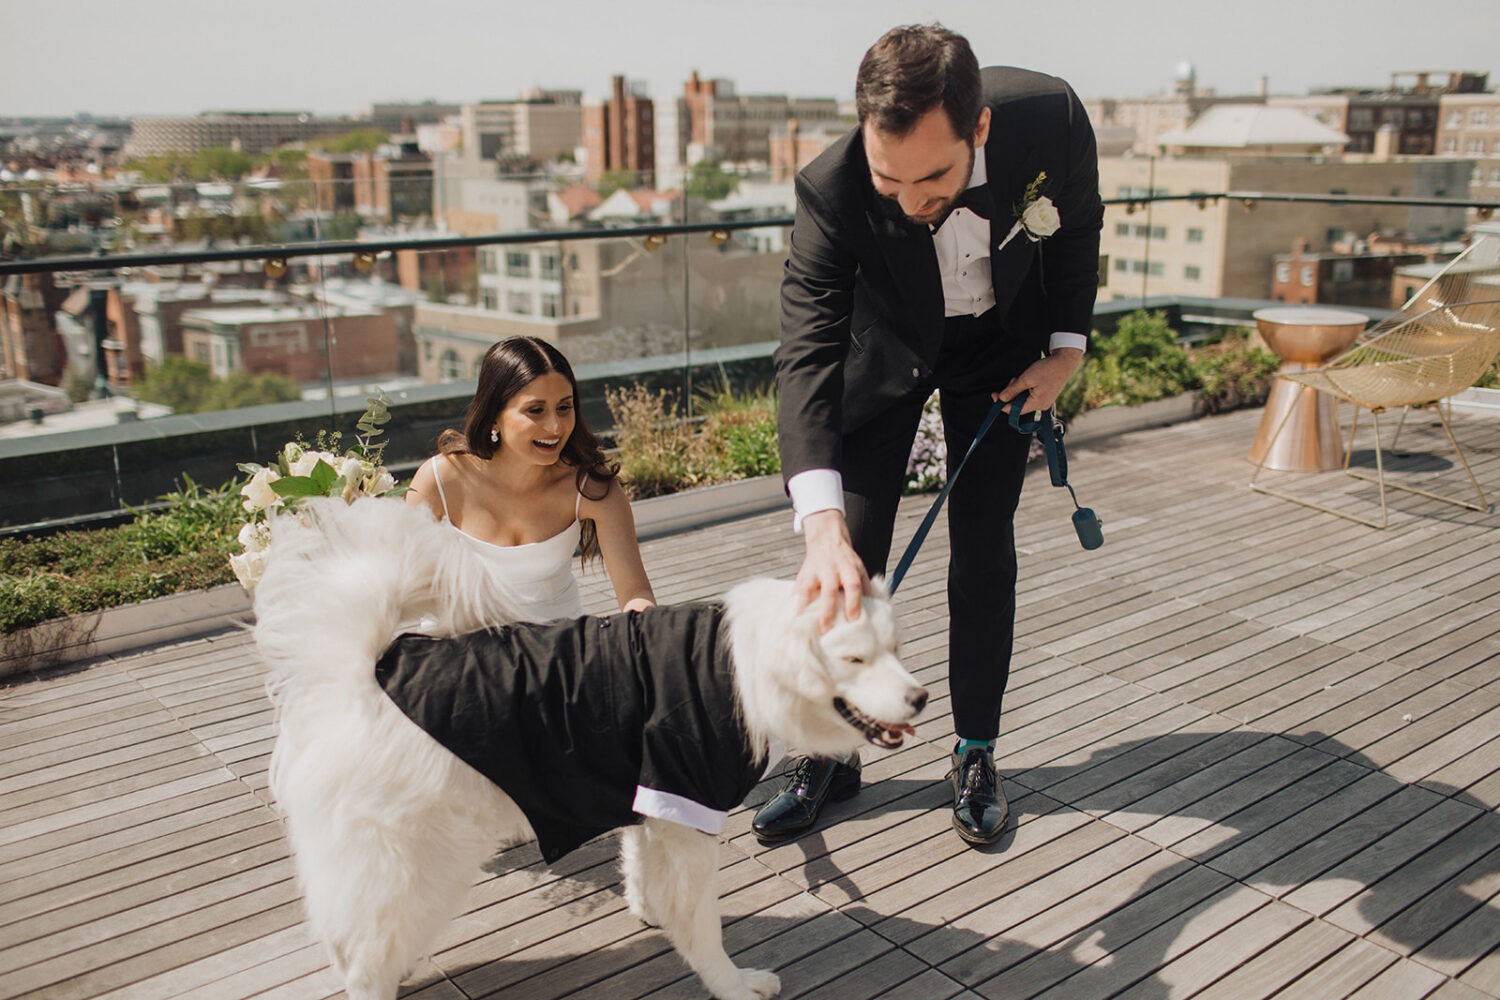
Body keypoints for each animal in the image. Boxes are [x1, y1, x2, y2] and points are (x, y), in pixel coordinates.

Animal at [252, 500, 918, 1000]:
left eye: (894, 648)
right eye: (854, 659)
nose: (921, 698)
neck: (741, 669)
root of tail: (363, 671)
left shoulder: (651, 805)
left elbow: (641, 871)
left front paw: (650, 912)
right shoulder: (685, 810)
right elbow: (703, 925)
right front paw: (734, 984)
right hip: (411, 858)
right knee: (363, 952)